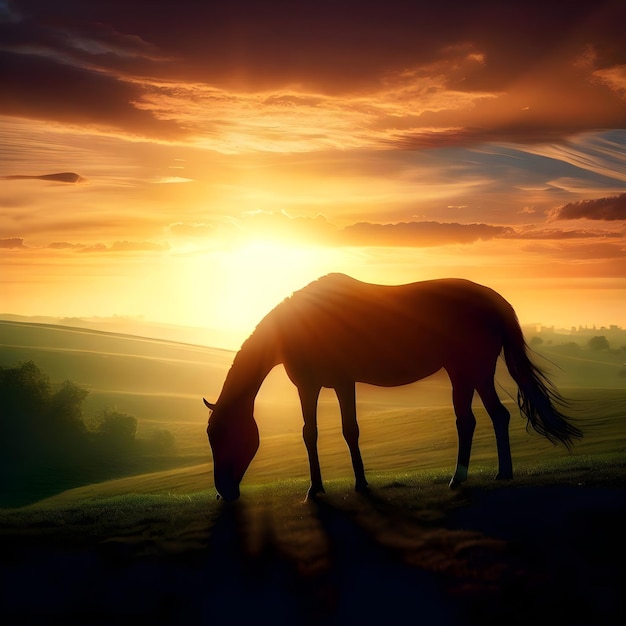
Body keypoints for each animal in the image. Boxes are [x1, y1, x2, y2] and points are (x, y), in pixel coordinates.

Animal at [202, 272, 576, 498]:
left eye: (222, 435)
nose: (223, 492)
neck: (300, 324)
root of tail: (494, 302)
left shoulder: (342, 383)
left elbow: (350, 429)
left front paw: (361, 483)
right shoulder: (308, 387)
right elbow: (310, 433)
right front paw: (315, 489)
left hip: (464, 371)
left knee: (468, 421)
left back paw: (460, 478)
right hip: (479, 374)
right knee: (498, 416)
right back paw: (502, 473)